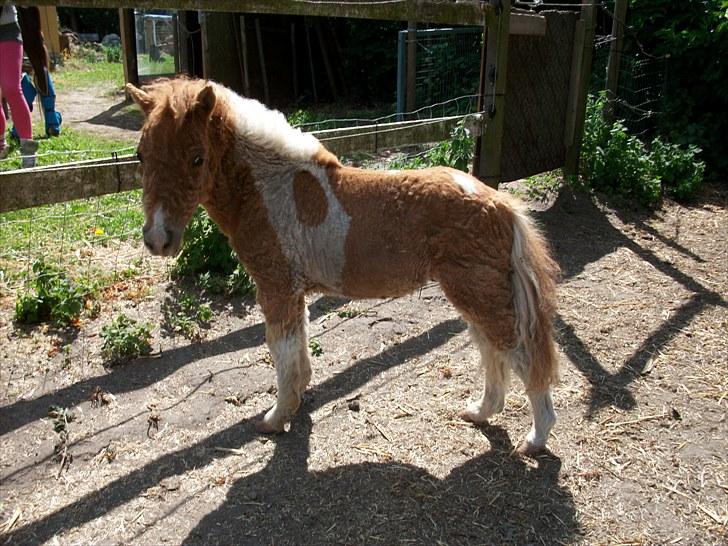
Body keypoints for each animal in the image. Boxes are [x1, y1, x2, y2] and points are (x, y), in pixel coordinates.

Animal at [125, 75, 560, 450]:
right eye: (141, 156)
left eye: (197, 159)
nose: (158, 239)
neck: (270, 188)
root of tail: (501, 204)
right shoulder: (293, 291)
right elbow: (298, 351)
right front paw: (296, 405)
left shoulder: (276, 287)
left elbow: (281, 352)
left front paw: (275, 419)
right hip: (474, 296)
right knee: (492, 351)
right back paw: (481, 412)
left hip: (480, 294)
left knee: (520, 354)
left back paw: (536, 438)